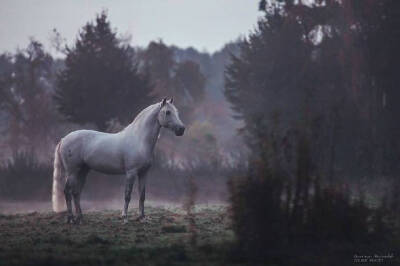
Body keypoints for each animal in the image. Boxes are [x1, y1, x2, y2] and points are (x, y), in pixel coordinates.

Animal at [51, 98, 186, 223]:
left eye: (177, 112)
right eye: (168, 112)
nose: (181, 129)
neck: (139, 140)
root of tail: (64, 139)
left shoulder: (143, 173)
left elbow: (142, 195)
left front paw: (142, 217)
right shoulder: (131, 173)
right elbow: (127, 195)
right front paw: (124, 217)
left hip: (83, 171)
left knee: (76, 192)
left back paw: (80, 218)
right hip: (72, 171)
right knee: (67, 191)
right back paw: (70, 219)